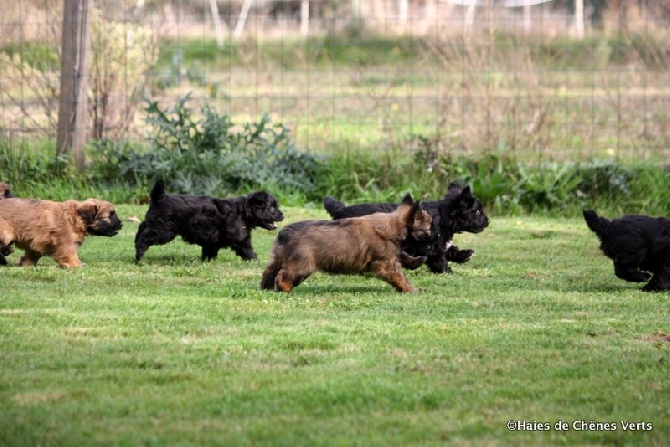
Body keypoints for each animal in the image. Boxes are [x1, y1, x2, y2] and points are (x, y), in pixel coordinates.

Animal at [135, 178, 284, 262]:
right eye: (272, 208)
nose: (283, 215)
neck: (243, 211)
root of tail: (159, 199)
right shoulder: (240, 238)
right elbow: (248, 250)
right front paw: (256, 262)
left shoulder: (212, 240)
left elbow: (209, 251)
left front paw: (207, 262)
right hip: (163, 230)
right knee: (145, 239)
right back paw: (140, 256)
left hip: (151, 224)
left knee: (140, 233)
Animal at [260, 193, 434, 294]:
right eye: (428, 229)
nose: (433, 240)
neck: (395, 226)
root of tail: (283, 233)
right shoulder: (386, 264)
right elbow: (401, 277)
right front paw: (411, 289)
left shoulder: (391, 257)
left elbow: (403, 256)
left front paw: (416, 262)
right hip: (302, 264)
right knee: (283, 275)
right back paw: (285, 289)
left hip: (278, 258)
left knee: (269, 272)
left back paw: (266, 287)